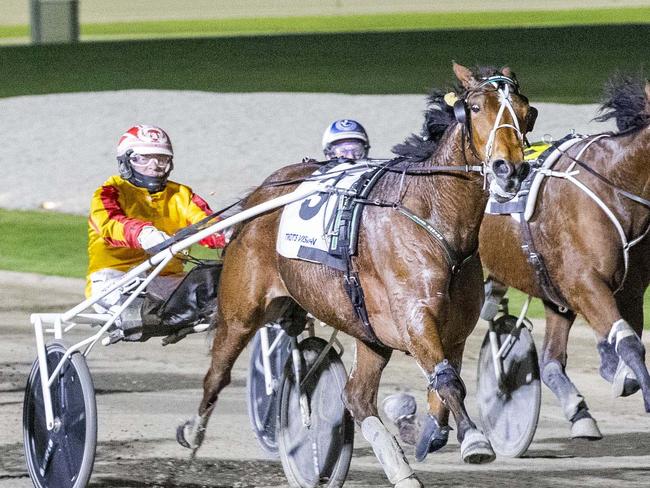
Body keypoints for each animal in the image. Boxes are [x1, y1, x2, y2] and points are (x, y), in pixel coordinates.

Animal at [176, 63, 532, 486]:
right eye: (476, 108)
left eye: (527, 112)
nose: (509, 169)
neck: (432, 216)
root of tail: (261, 193)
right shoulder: (415, 318)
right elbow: (447, 382)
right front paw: (475, 440)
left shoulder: (453, 329)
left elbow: (442, 388)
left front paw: (429, 432)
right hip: (241, 310)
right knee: (217, 374)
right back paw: (193, 433)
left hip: (368, 334)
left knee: (357, 397)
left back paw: (401, 471)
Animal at [476, 75, 648, 438]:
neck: (616, 185)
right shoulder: (584, 283)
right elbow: (628, 343)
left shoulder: (629, 288)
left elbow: (627, 345)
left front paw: (615, 370)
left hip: (550, 287)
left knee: (551, 358)